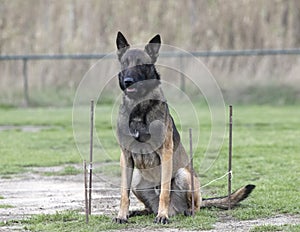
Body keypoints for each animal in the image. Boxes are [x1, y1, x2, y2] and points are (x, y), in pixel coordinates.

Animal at [113, 31, 254, 224]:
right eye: (125, 63)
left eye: (141, 64)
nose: (128, 81)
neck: (139, 107)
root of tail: (175, 211)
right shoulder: (125, 156)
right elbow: (123, 193)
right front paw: (122, 215)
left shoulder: (165, 153)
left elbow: (164, 191)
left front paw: (162, 216)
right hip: (136, 181)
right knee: (148, 207)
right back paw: (139, 212)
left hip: (183, 174)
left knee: (194, 205)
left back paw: (183, 212)